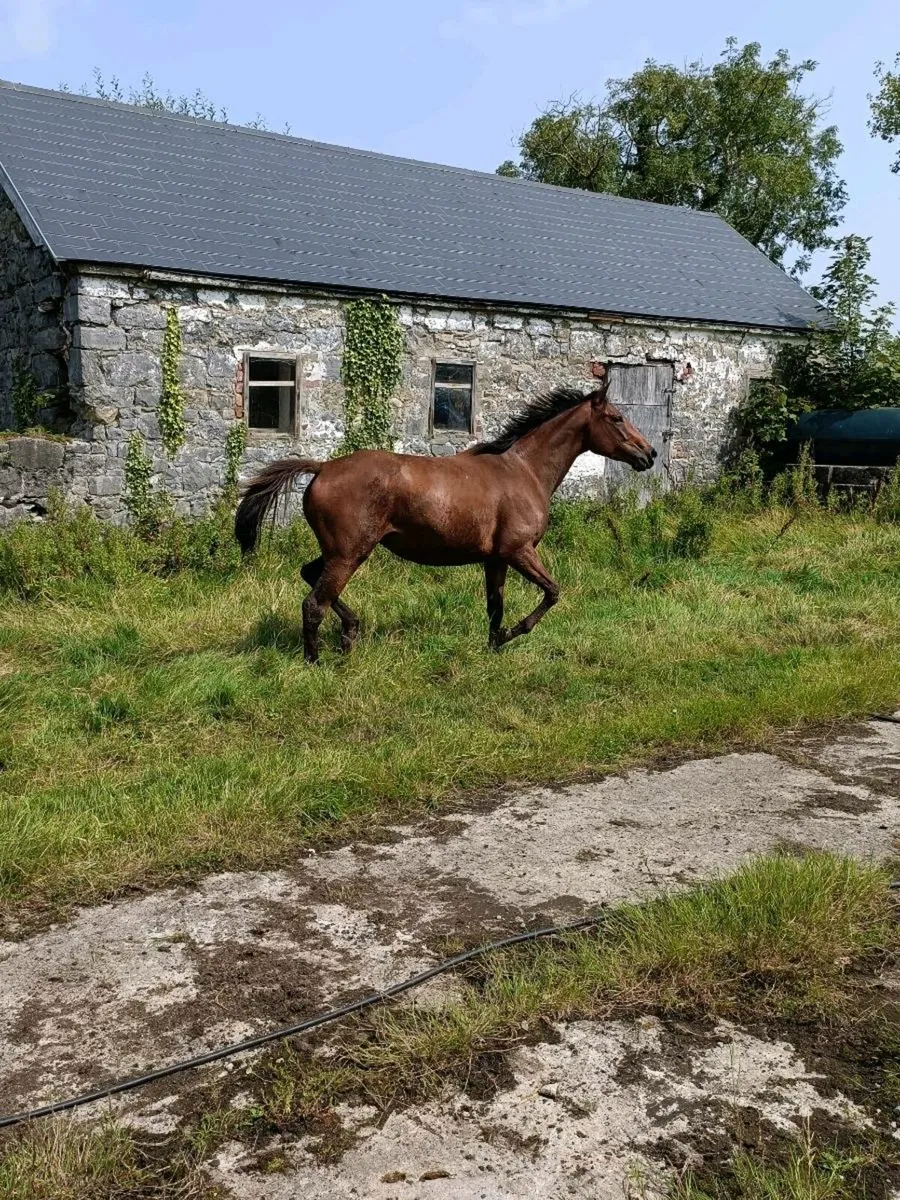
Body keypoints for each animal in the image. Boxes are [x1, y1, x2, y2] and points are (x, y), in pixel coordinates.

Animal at [235, 364, 657, 662]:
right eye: (617, 418)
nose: (649, 454)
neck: (523, 470)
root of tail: (322, 467)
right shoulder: (519, 551)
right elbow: (552, 592)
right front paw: (512, 634)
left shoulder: (496, 559)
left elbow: (495, 606)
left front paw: (494, 645)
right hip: (348, 553)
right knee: (314, 603)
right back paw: (316, 660)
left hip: (342, 551)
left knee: (310, 576)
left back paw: (350, 632)